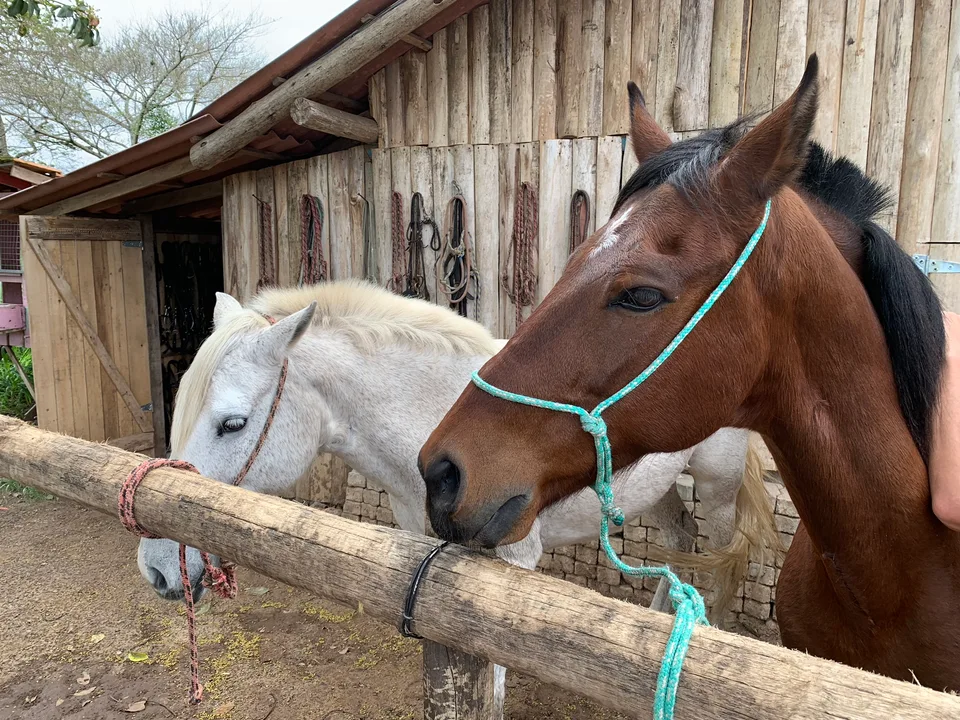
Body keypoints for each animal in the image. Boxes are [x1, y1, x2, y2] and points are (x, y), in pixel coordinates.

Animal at [139, 281, 778, 628]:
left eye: (233, 424)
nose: (158, 568)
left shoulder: (515, 560)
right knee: (681, 541)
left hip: (717, 485)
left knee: (722, 559)